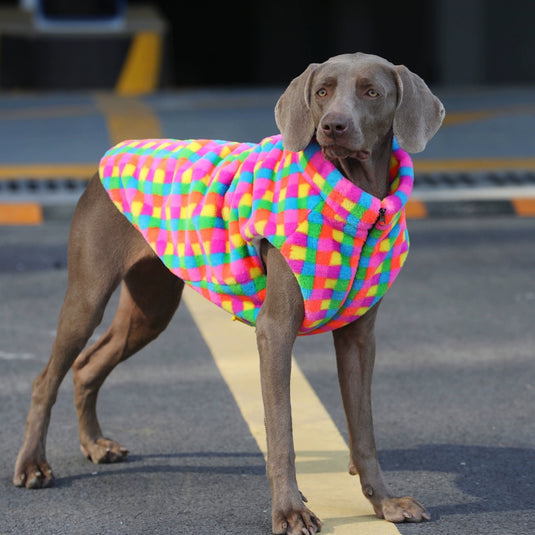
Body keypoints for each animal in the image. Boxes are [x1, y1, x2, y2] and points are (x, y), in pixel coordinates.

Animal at [14, 51, 446, 535]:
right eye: (322, 91)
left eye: (372, 91)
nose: (332, 126)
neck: (358, 201)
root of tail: (106, 159)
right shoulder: (275, 331)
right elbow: (282, 430)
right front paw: (290, 511)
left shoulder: (358, 338)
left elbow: (364, 431)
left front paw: (384, 502)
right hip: (88, 296)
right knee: (45, 378)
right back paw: (32, 465)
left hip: (151, 308)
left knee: (88, 365)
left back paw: (94, 444)